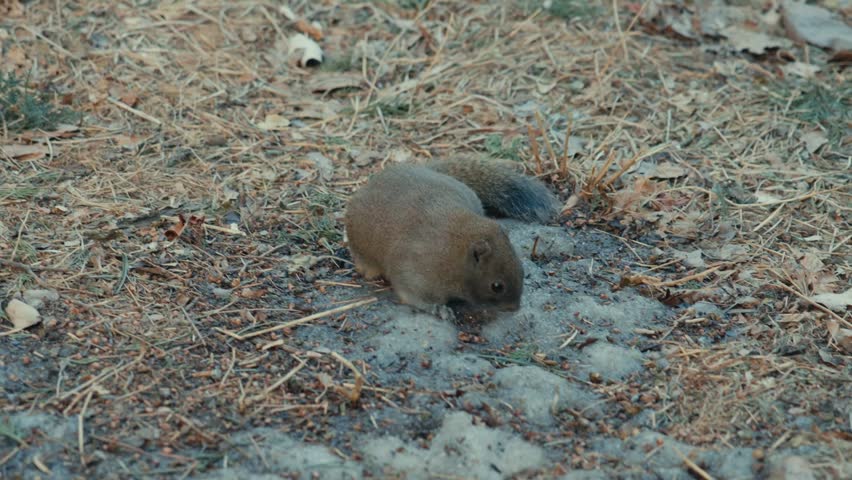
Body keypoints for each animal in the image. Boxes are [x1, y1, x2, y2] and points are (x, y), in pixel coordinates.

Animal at [344, 157, 560, 313]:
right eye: (497, 286)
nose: (514, 308)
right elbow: (412, 295)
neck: (456, 248)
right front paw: (437, 309)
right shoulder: (413, 271)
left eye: (522, 269)